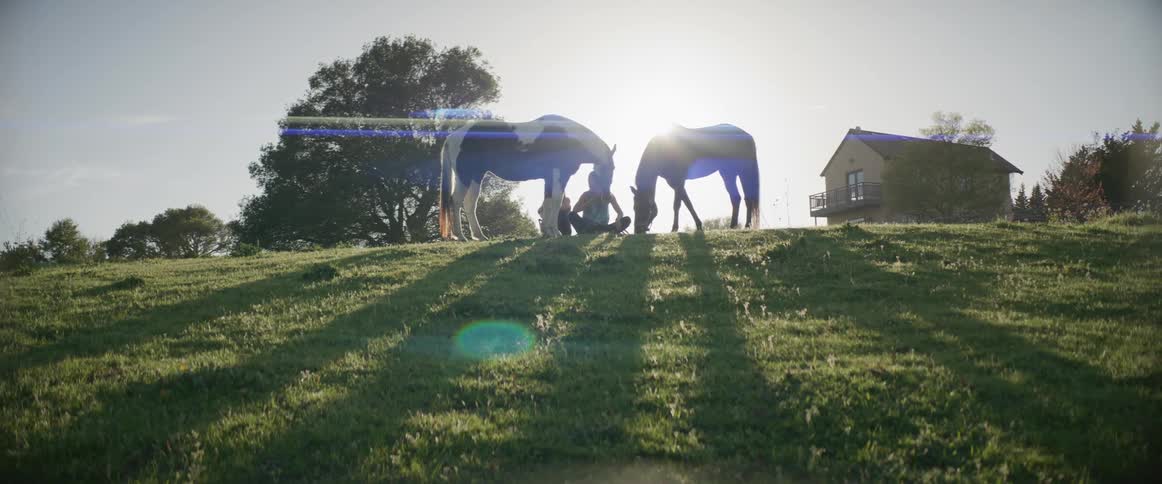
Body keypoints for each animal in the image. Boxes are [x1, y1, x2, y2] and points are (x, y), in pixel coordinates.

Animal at [439, 115, 615, 240]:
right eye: (612, 167)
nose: (606, 196)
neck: (568, 137)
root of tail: (453, 136)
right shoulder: (559, 175)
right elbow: (557, 201)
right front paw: (555, 232)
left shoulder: (549, 178)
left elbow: (548, 202)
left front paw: (548, 231)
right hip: (466, 176)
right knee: (456, 201)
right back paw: (460, 236)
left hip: (474, 177)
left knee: (469, 203)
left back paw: (479, 236)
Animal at [630, 124, 759, 234]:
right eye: (634, 207)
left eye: (641, 207)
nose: (638, 230)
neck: (661, 150)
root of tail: (747, 136)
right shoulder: (676, 183)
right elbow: (686, 203)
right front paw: (696, 225)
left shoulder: (679, 182)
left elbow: (679, 205)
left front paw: (676, 228)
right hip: (728, 173)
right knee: (736, 198)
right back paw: (733, 225)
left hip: (742, 172)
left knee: (747, 198)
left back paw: (746, 225)